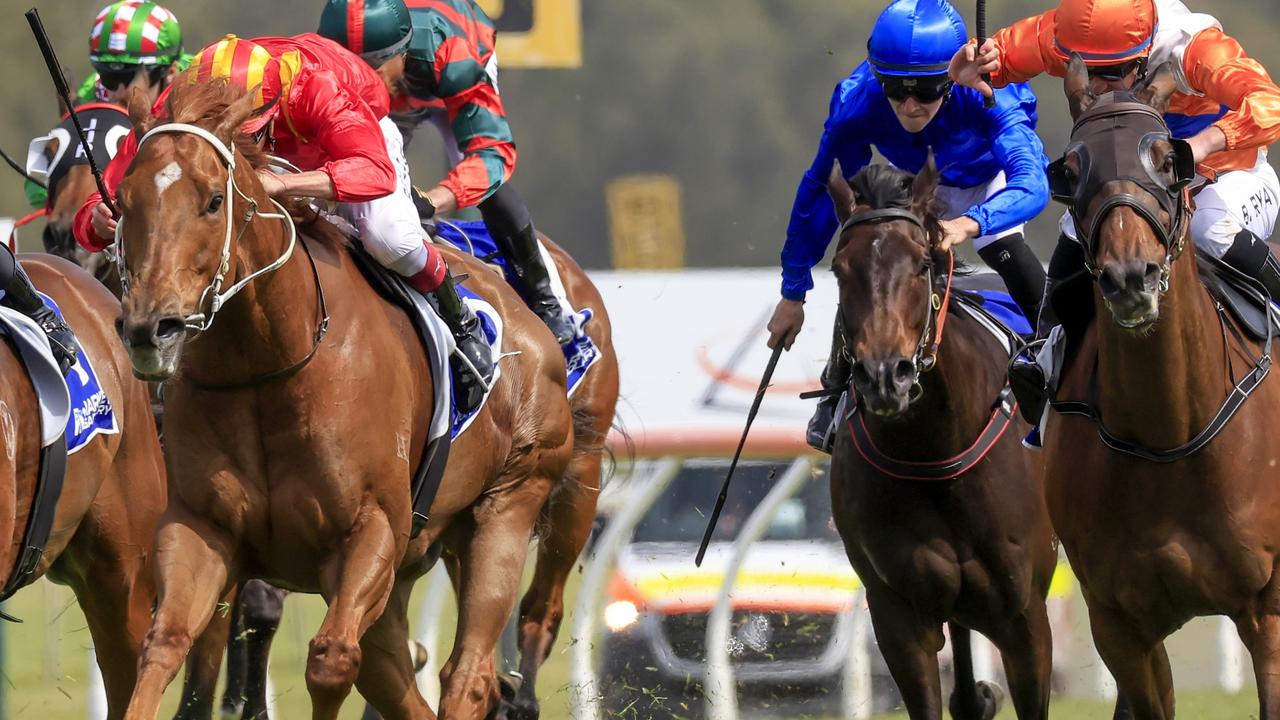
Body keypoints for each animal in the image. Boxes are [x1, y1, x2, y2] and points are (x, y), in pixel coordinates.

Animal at [115, 78, 576, 717]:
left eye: (211, 201)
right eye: (124, 200)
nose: (149, 329)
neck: (270, 366)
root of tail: (534, 327)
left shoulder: (371, 529)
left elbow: (331, 659)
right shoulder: (200, 526)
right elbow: (163, 645)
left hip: (506, 507)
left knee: (469, 673)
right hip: (413, 562)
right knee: (401, 678)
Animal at [824, 162, 1054, 717]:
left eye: (923, 264)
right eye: (839, 269)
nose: (885, 376)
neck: (935, 449)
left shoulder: (1025, 617)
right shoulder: (898, 616)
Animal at [1044, 57, 1280, 717]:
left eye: (1166, 159)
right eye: (1071, 170)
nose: (1131, 277)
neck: (1171, 431)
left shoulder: (1268, 611)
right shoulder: (1120, 626)